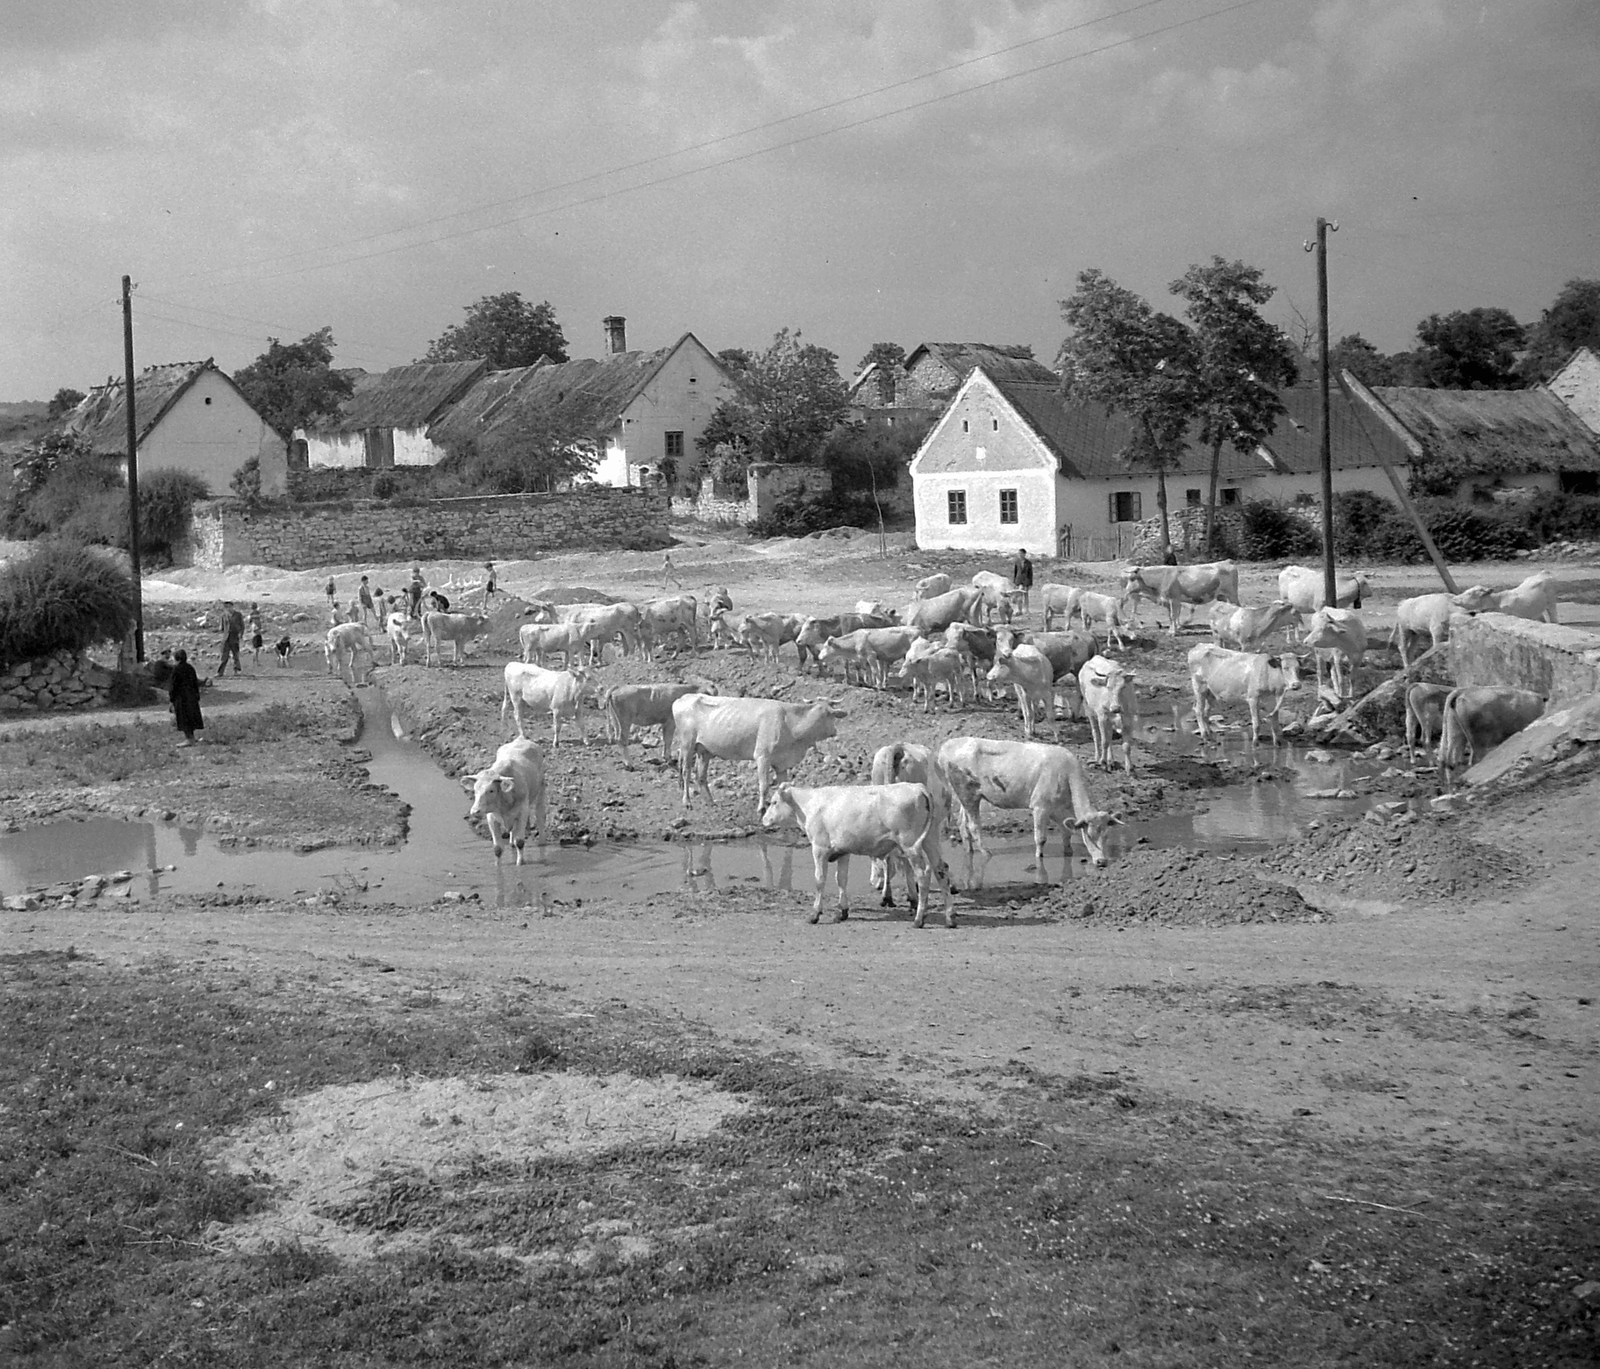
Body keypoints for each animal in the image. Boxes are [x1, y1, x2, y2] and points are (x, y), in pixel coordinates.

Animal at [761, 786, 947, 927]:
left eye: (774, 802)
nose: (763, 819)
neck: (810, 805)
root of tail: (918, 787)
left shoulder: (819, 849)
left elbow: (820, 880)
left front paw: (815, 914)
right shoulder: (843, 851)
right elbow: (841, 879)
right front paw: (843, 911)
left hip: (911, 846)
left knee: (923, 875)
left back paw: (919, 919)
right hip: (930, 840)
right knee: (941, 869)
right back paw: (949, 917)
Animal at [934, 738, 1126, 876]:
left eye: (1107, 835)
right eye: (1089, 835)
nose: (1102, 862)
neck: (1065, 775)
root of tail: (948, 745)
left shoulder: (1060, 811)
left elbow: (1066, 833)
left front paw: (1069, 852)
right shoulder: (1040, 807)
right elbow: (1040, 838)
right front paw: (1038, 860)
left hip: (967, 796)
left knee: (962, 823)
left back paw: (969, 850)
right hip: (968, 795)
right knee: (973, 826)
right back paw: (986, 853)